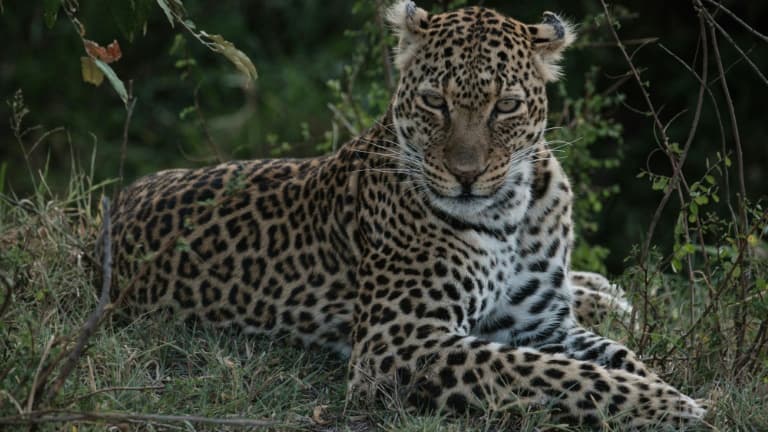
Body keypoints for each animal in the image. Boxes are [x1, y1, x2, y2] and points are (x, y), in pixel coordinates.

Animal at [108, 0, 708, 428]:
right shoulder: (400, 340)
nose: (466, 175)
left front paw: (668, 390)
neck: (512, 212)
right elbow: (557, 374)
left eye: (506, 106)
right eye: (435, 101)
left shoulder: (541, 324)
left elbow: (618, 357)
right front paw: (672, 406)